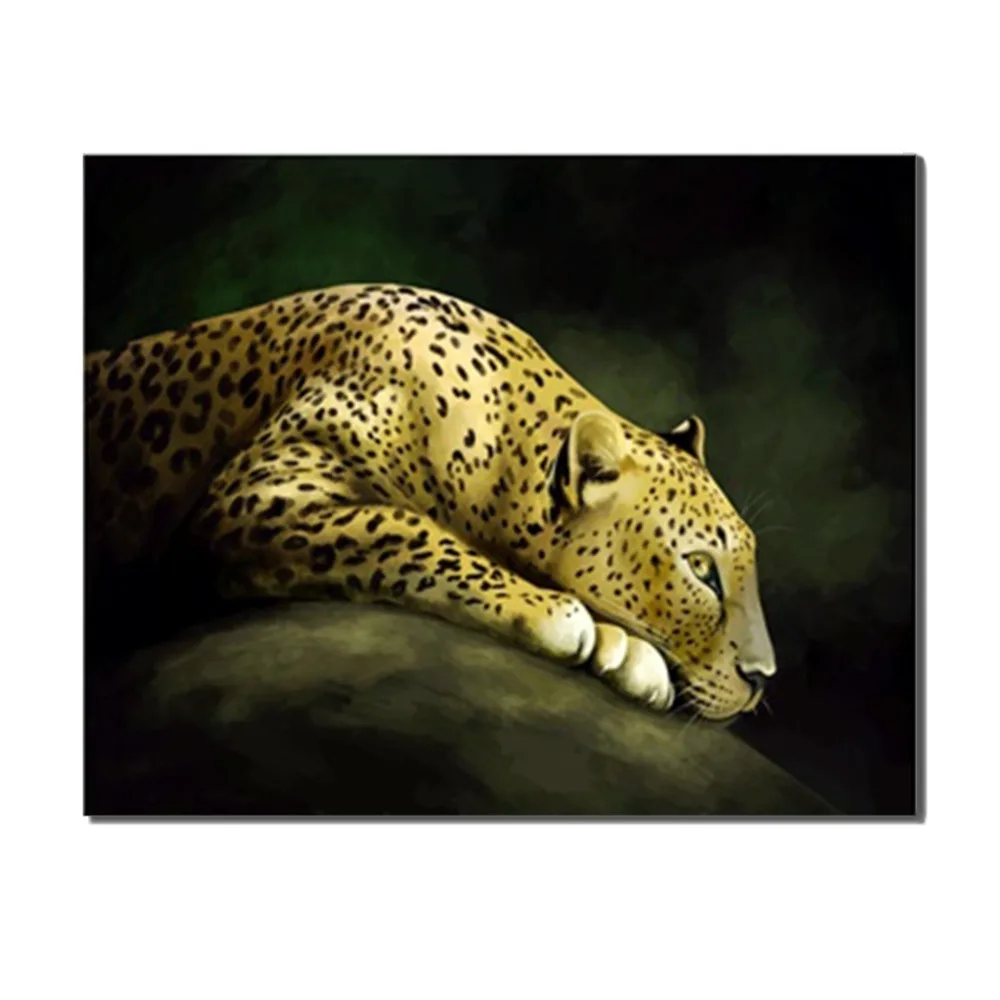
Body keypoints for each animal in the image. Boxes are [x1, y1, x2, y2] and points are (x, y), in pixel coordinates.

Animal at [85, 283, 776, 721]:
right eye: (701, 569)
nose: (763, 678)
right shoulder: (262, 493)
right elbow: (407, 530)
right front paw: (558, 613)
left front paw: (623, 647)